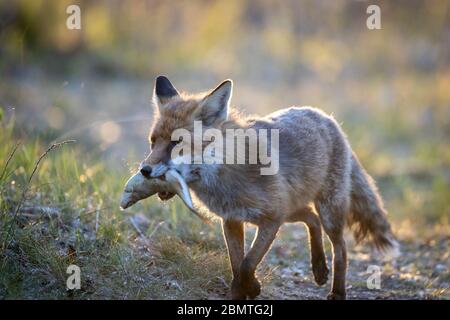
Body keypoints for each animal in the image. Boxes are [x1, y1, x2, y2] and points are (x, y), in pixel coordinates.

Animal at [130, 75, 398, 300]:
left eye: (177, 143)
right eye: (153, 142)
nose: (144, 170)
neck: (227, 176)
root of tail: (328, 118)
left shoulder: (271, 219)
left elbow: (248, 263)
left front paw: (248, 288)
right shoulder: (233, 220)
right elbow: (236, 264)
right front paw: (244, 291)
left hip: (326, 210)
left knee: (340, 248)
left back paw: (337, 290)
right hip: (293, 209)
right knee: (311, 218)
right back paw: (319, 267)